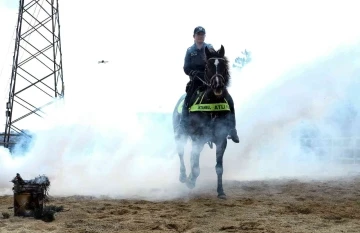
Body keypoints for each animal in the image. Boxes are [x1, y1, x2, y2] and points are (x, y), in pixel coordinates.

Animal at [172, 44, 236, 199]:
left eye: (223, 66)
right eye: (208, 66)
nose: (218, 85)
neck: (212, 106)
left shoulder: (221, 140)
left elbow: (219, 167)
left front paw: (221, 192)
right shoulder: (197, 138)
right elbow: (195, 165)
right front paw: (190, 181)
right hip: (180, 135)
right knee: (182, 153)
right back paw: (184, 176)